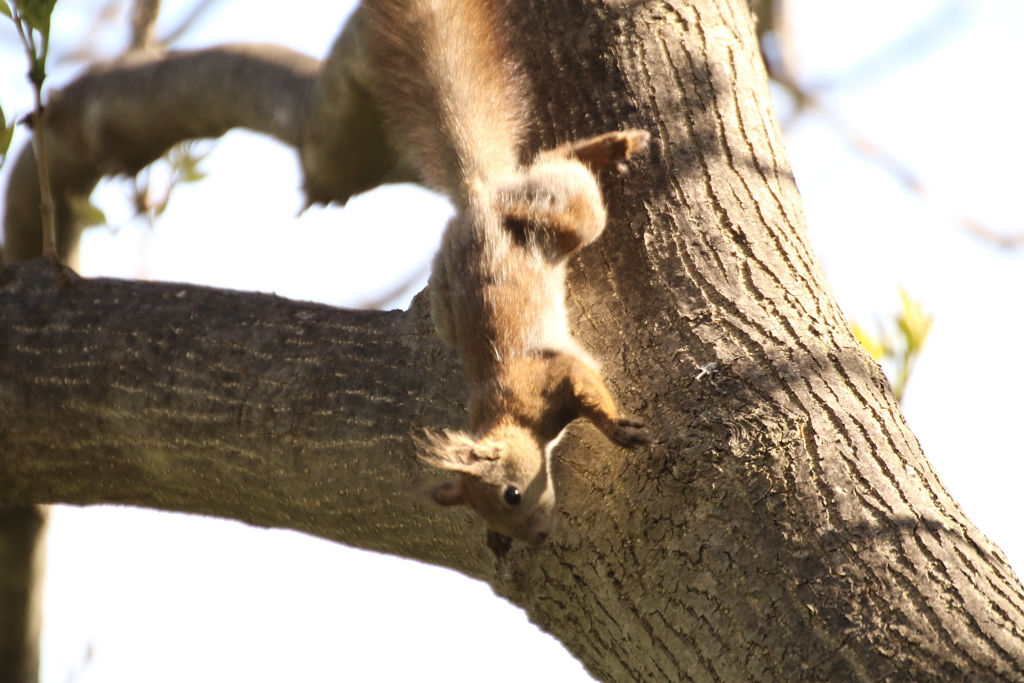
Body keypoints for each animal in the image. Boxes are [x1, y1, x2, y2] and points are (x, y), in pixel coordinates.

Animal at [358, 0, 647, 557]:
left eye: (512, 494)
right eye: (479, 512)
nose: (535, 537)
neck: (504, 414)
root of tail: (477, 199)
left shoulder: (551, 374)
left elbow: (589, 392)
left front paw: (618, 427)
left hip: (562, 215)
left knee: (559, 163)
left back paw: (614, 145)